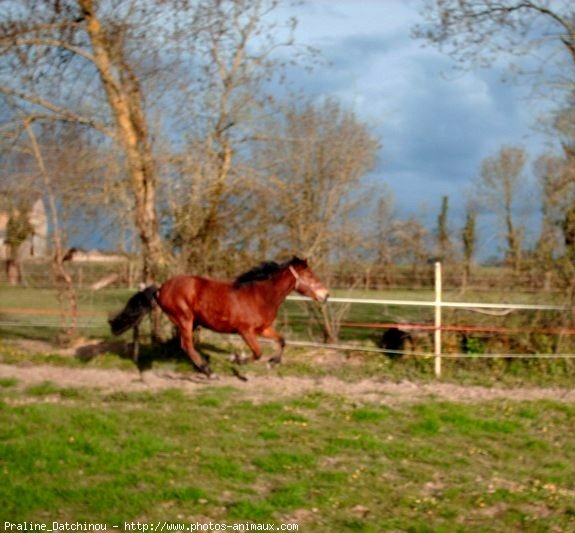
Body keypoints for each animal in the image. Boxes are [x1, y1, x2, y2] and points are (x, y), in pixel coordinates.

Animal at [109, 256, 328, 376]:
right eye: (310, 276)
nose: (326, 295)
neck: (260, 296)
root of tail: (161, 287)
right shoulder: (246, 331)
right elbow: (258, 352)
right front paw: (237, 359)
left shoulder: (263, 329)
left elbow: (282, 341)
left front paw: (272, 363)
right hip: (184, 319)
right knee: (186, 345)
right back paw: (208, 371)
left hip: (189, 321)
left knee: (186, 346)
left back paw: (202, 368)